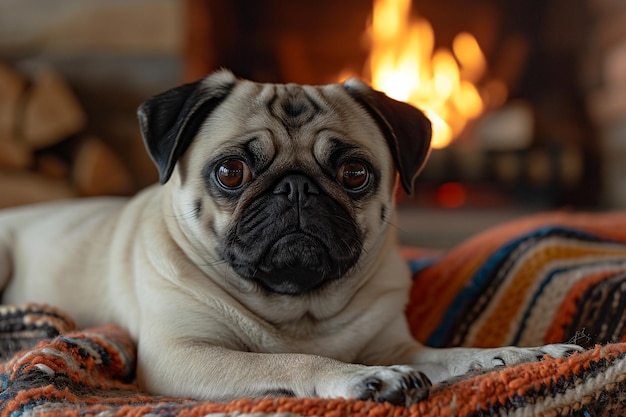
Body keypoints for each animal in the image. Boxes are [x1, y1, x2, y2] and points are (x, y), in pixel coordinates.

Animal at [0, 70, 580, 404]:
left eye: (355, 174)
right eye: (230, 171)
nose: (296, 187)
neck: (298, 309)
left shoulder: (398, 342)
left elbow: (451, 355)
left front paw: (517, 355)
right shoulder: (181, 354)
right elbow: (289, 361)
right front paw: (367, 378)